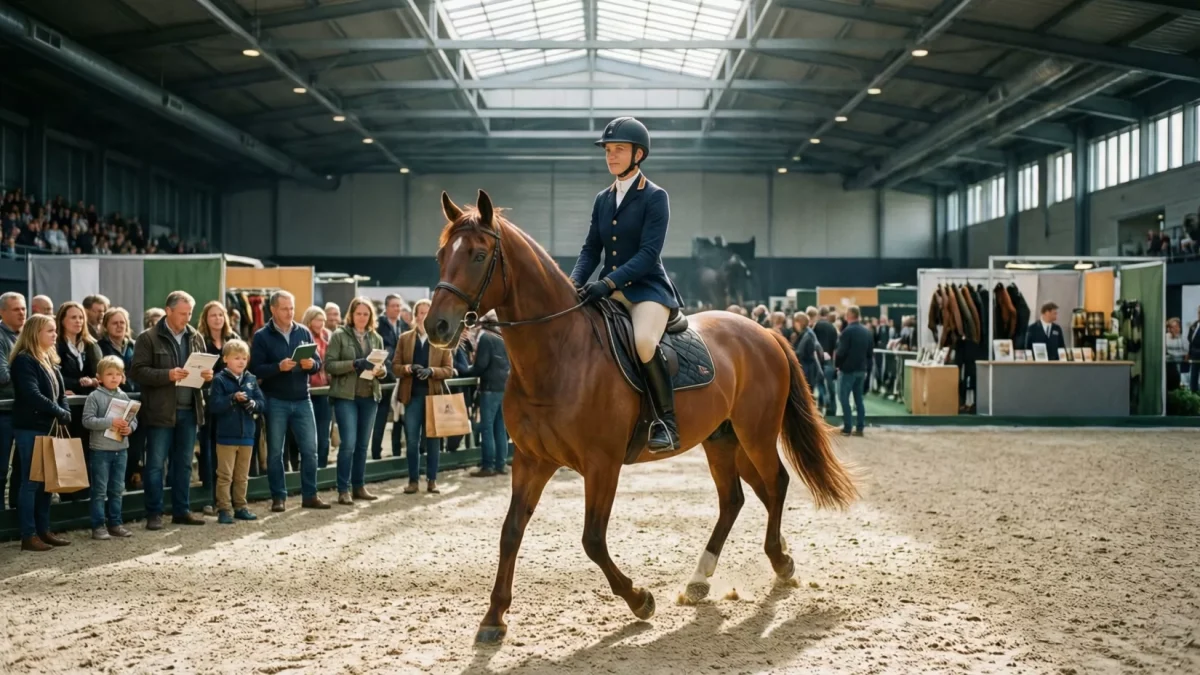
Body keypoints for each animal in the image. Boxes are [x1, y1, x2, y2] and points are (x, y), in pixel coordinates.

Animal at [425, 190, 858, 645]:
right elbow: (510, 532)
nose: (437, 327)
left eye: (477, 255)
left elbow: (593, 540)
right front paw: (493, 618)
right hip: (723, 438)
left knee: (775, 483)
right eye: (441, 254)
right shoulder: (531, 460)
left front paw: (640, 600)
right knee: (738, 497)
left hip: (755, 433)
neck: (559, 354)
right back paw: (705, 577)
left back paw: (778, 561)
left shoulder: (602, 465)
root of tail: (764, 331)